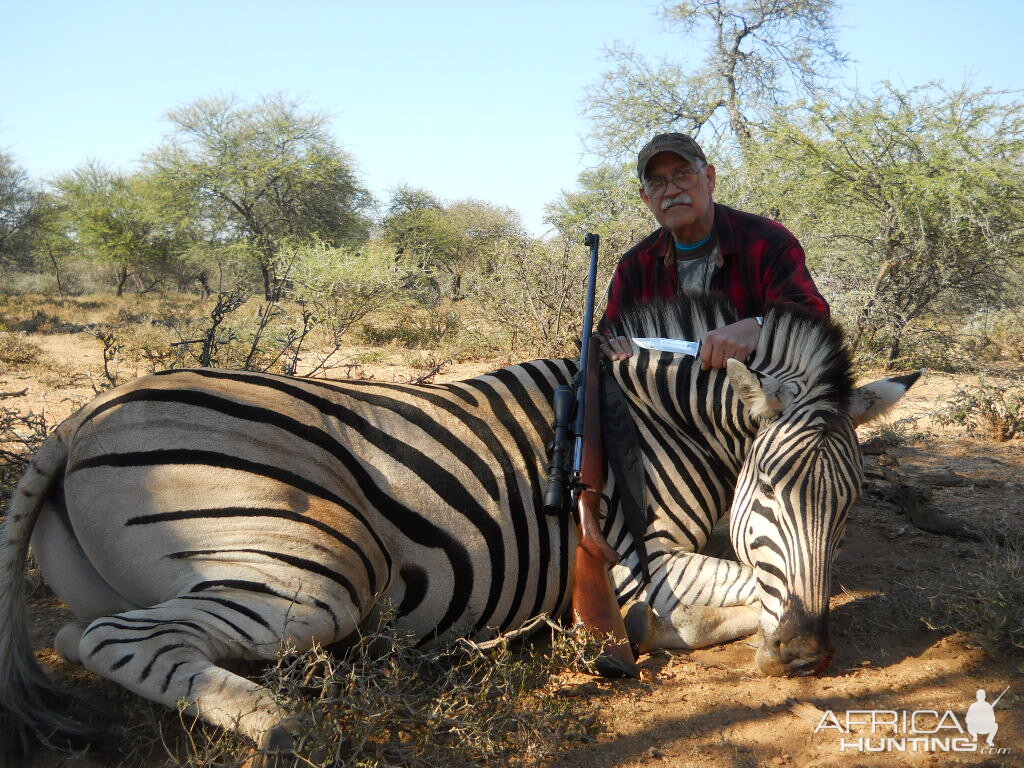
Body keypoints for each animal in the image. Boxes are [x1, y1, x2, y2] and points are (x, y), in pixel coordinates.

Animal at [0, 296, 921, 757]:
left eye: (848, 505)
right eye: (766, 488)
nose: (803, 655)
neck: (662, 427)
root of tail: (79, 419)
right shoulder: (651, 568)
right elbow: (725, 596)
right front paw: (660, 637)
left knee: (84, 636)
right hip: (320, 574)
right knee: (120, 640)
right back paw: (301, 727)